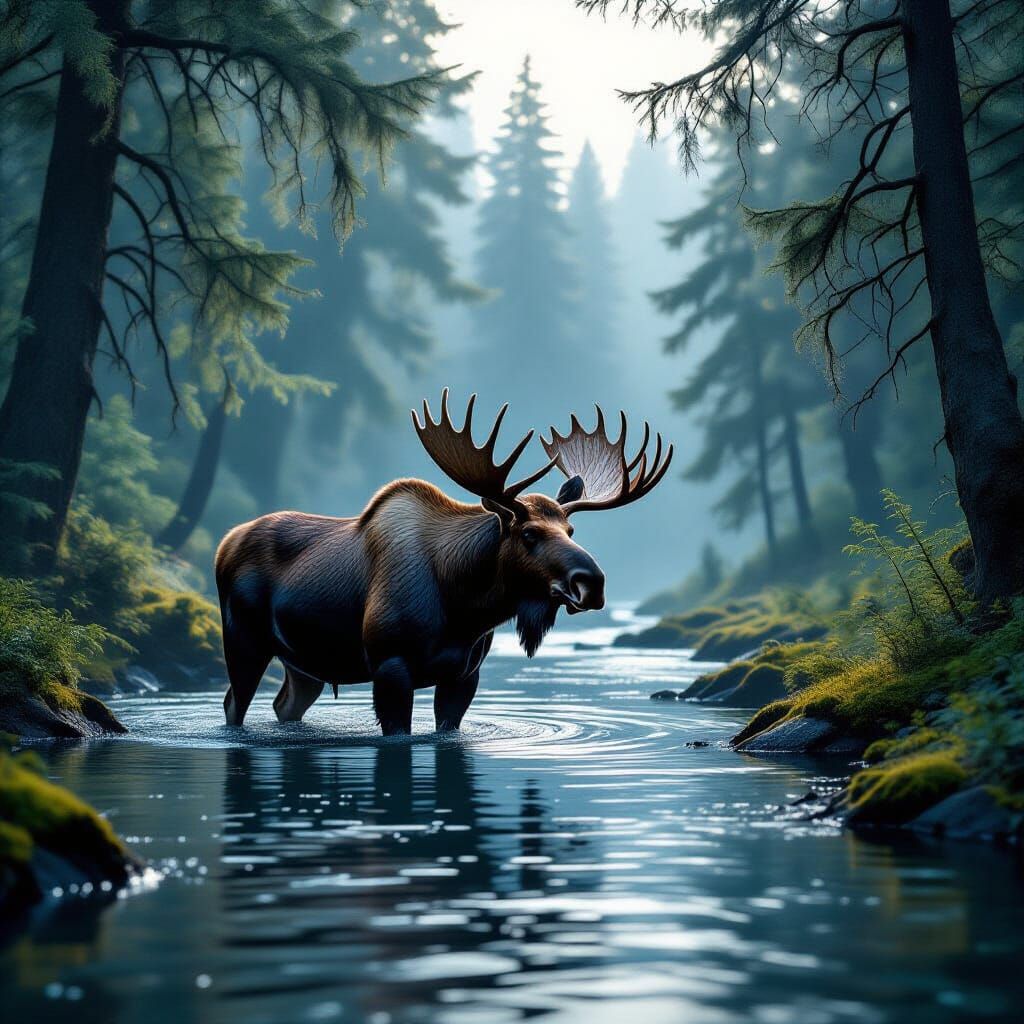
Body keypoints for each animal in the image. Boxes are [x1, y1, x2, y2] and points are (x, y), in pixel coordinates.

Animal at [214, 391, 673, 735]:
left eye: (571, 530)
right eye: (528, 534)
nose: (591, 583)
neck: (463, 606)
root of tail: (225, 542)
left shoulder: (465, 674)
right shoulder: (391, 665)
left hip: (304, 663)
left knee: (284, 705)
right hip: (243, 640)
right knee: (233, 704)